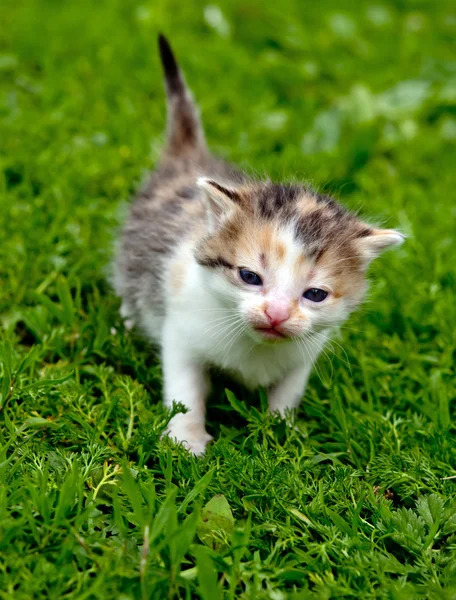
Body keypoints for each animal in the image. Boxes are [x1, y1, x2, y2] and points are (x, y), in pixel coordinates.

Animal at [112, 34, 404, 454]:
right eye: (250, 276)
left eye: (315, 294)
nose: (277, 314)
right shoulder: (181, 331)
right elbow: (186, 389)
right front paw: (187, 438)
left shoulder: (304, 354)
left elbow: (287, 393)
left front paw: (282, 435)